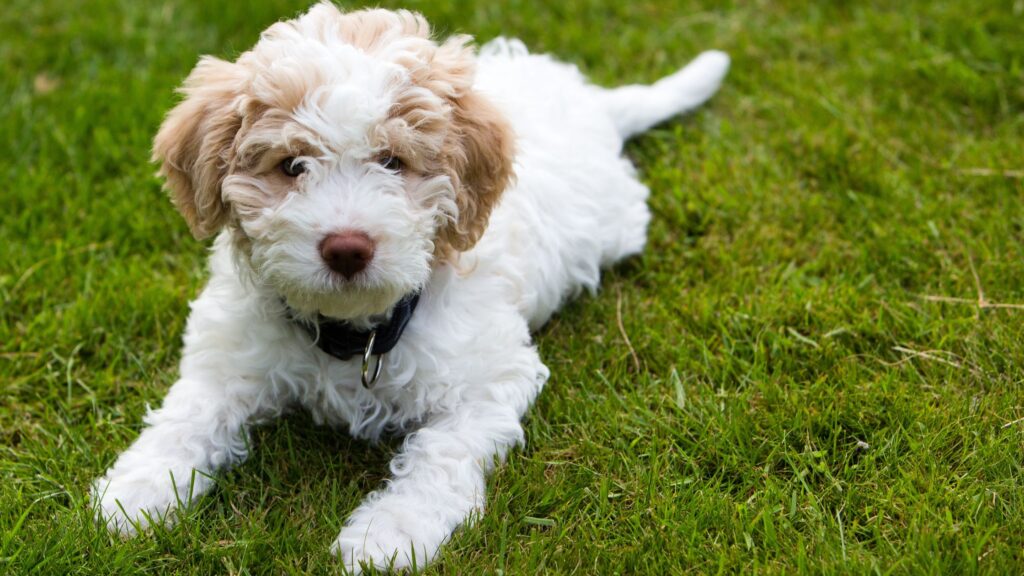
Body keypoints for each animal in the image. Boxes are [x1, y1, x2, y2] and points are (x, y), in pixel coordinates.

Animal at [90, 3, 729, 569]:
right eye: (292, 166)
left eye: (393, 162)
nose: (347, 247)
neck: (353, 333)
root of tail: (591, 102)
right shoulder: (230, 354)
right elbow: (188, 412)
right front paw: (136, 491)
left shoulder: (487, 380)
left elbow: (439, 453)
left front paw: (390, 535)